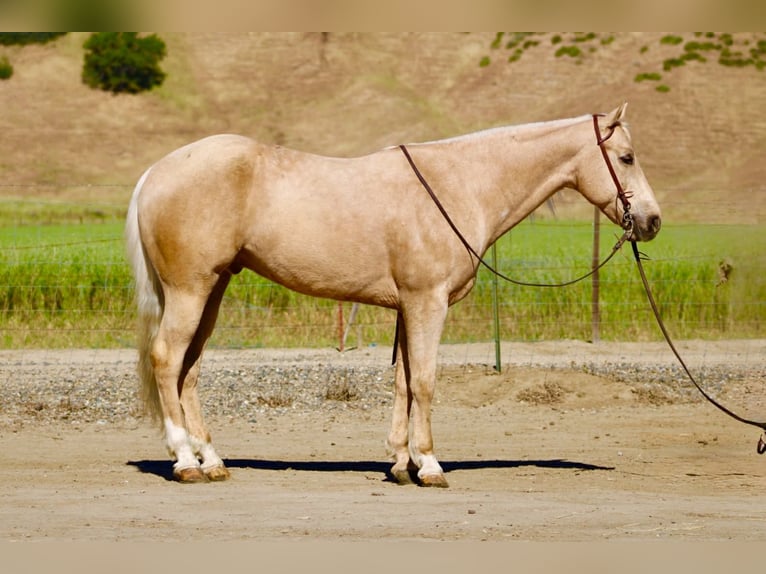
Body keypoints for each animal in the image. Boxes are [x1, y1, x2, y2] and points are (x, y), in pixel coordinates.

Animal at [125, 102, 661, 486]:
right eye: (627, 157)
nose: (653, 221)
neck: (460, 184)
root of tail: (156, 172)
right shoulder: (427, 303)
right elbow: (423, 381)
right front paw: (429, 465)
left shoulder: (407, 307)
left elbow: (403, 382)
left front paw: (401, 464)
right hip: (190, 291)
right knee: (167, 359)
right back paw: (184, 461)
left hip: (212, 291)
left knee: (189, 370)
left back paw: (211, 459)